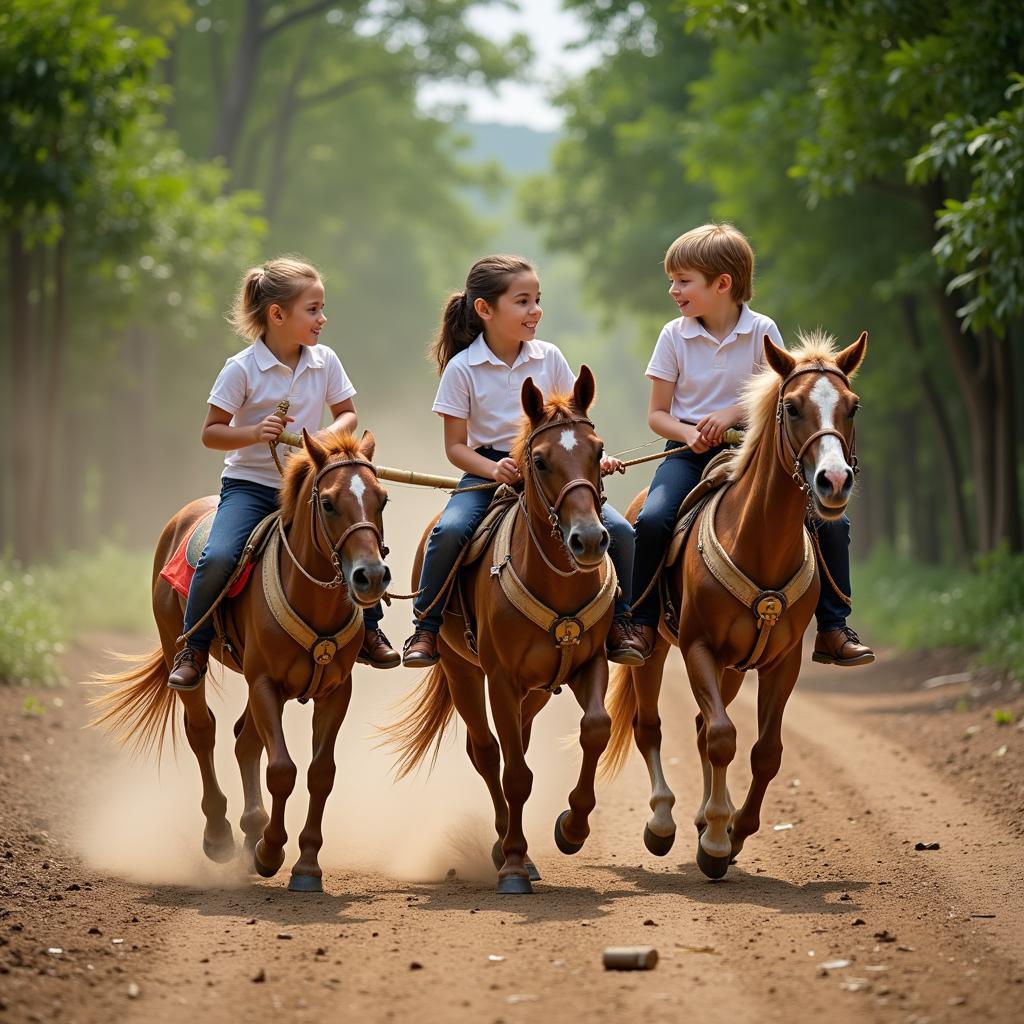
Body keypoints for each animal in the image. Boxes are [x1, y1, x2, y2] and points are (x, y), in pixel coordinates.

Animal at [92, 428, 389, 892]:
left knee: (243, 739)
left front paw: (305, 865)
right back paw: (219, 836)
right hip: (183, 655)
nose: (370, 576)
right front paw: (270, 852)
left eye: (382, 499)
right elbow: (282, 769)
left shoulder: (336, 691)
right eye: (328, 503)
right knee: (203, 731)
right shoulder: (265, 682)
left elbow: (320, 773)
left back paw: (250, 829)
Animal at [385, 366, 614, 888]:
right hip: (462, 672)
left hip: (535, 690)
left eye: (597, 451)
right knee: (488, 753)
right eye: (540, 460)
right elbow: (514, 773)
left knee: (518, 745)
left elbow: (595, 728)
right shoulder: (501, 679)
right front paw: (512, 863)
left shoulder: (590, 664)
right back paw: (507, 849)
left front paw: (571, 829)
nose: (589, 540)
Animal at [598, 333, 864, 880]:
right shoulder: (698, 647)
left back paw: (703, 818)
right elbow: (722, 736)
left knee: (702, 729)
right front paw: (717, 843)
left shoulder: (782, 662)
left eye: (852, 407)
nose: (833, 481)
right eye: (792, 406)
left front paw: (733, 830)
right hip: (655, 653)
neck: (757, 541)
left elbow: (765, 752)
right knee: (651, 727)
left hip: (736, 667)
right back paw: (664, 823)